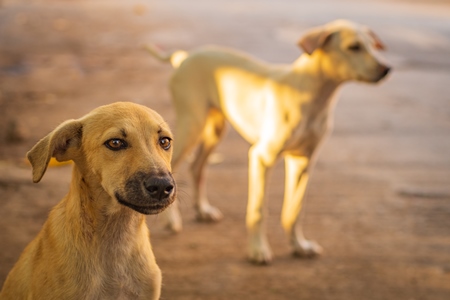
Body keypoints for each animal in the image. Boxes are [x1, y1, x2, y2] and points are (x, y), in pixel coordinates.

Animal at [145, 18, 390, 264]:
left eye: (373, 46)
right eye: (354, 47)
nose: (386, 69)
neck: (311, 94)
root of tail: (185, 56)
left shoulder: (303, 162)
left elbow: (294, 211)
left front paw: (300, 246)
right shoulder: (261, 157)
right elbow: (259, 209)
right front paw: (258, 250)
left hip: (215, 129)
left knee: (197, 166)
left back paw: (203, 210)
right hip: (191, 127)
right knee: (175, 167)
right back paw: (171, 220)